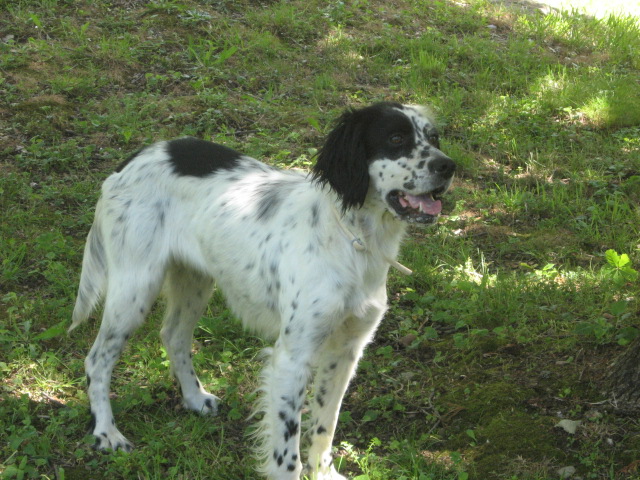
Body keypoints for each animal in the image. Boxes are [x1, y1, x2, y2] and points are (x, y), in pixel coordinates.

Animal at [69, 102, 455, 479]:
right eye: (395, 138)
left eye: (434, 137)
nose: (449, 166)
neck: (353, 238)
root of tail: (133, 158)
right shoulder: (292, 358)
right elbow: (287, 452)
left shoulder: (346, 351)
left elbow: (324, 426)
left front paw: (324, 471)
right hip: (134, 288)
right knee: (97, 359)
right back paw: (106, 432)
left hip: (195, 281)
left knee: (173, 335)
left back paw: (194, 398)